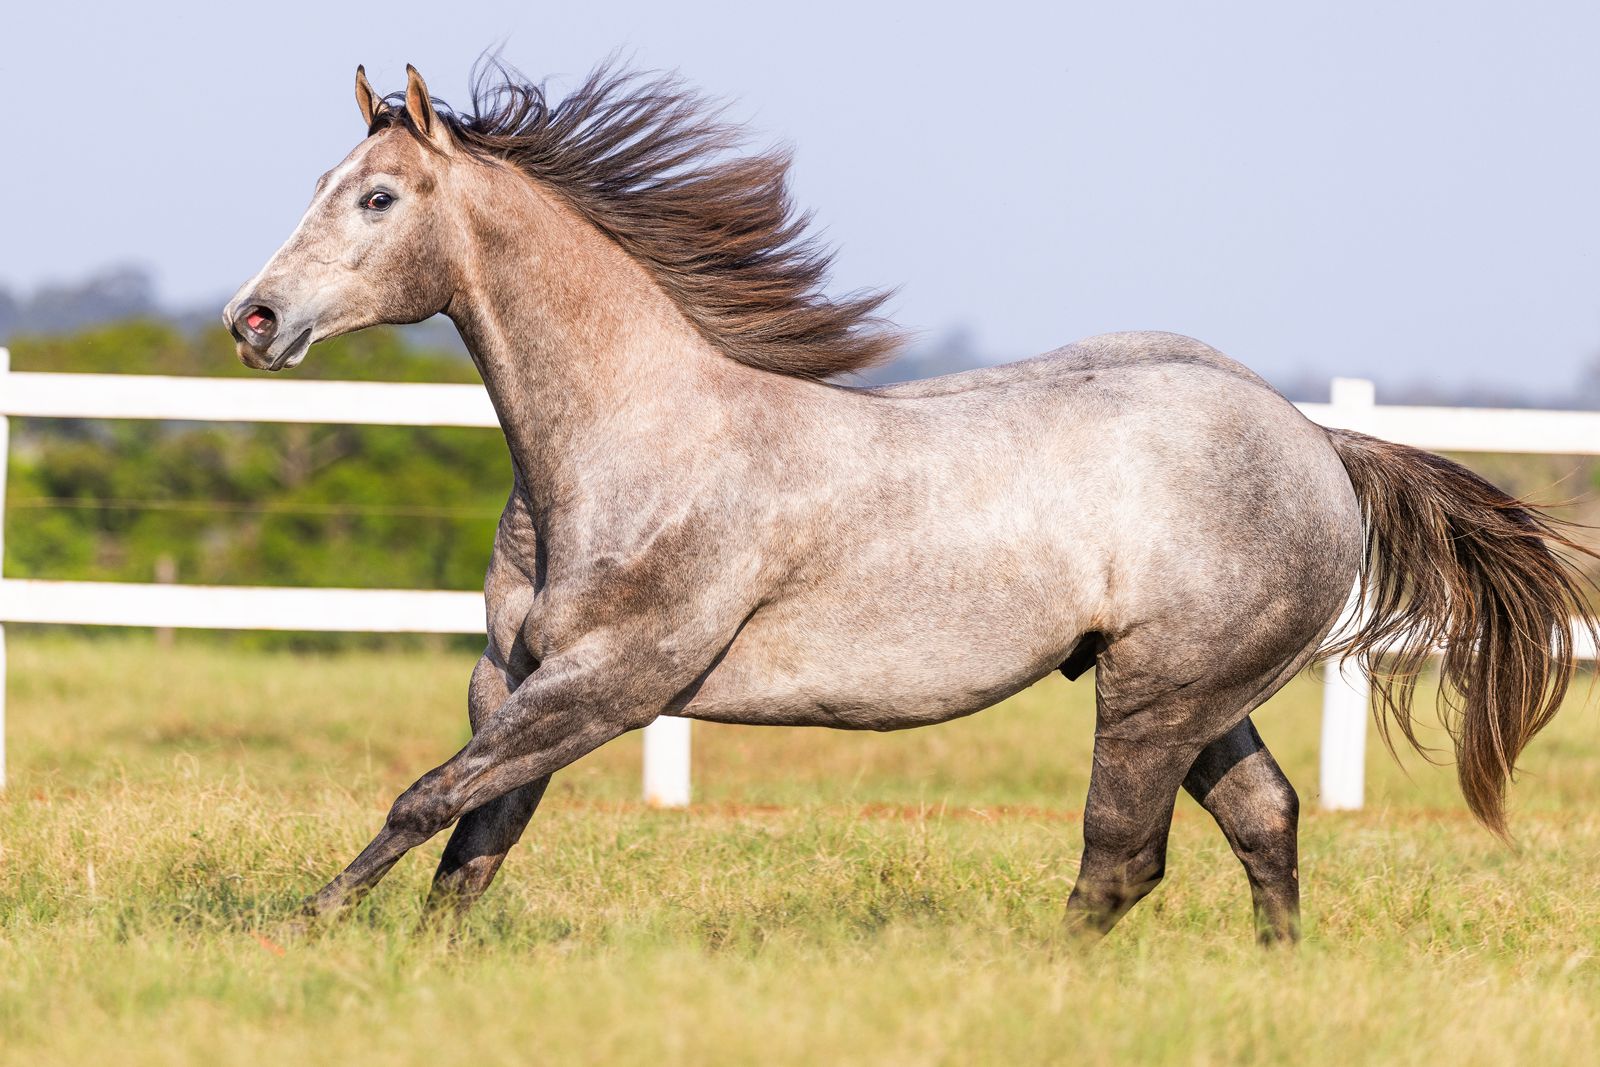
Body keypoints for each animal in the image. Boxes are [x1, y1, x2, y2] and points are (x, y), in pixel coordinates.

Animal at [219, 60, 1593, 940]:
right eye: (328, 177)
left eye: (377, 196)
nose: (255, 319)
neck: (631, 445)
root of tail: (1315, 441)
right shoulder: (510, 677)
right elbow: (470, 845)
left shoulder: (612, 682)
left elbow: (428, 797)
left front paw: (301, 927)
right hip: (1197, 693)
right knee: (1262, 819)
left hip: (1160, 694)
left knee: (1120, 857)